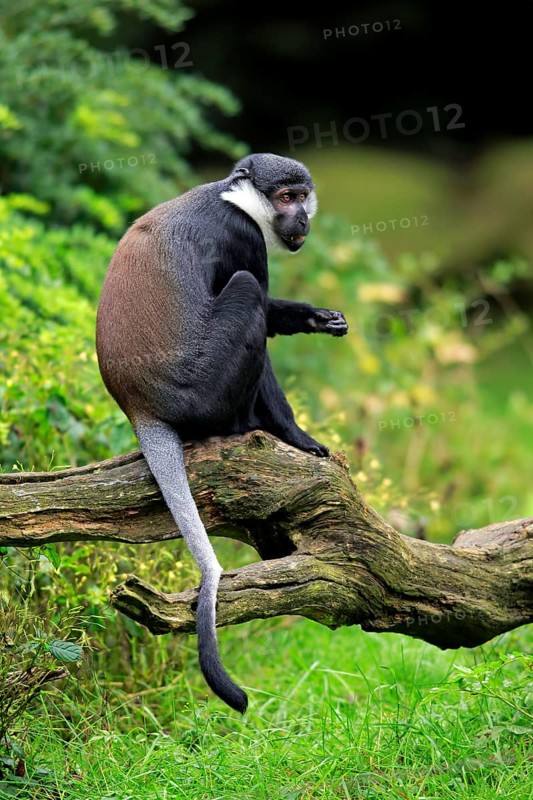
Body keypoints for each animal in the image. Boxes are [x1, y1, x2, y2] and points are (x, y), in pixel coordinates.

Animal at [95, 153, 348, 714]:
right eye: (285, 197)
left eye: (303, 195)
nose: (301, 217)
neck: (233, 198)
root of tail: (140, 407)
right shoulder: (242, 236)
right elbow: (255, 291)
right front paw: (298, 438)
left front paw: (314, 316)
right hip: (206, 394)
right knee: (247, 290)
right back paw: (250, 427)